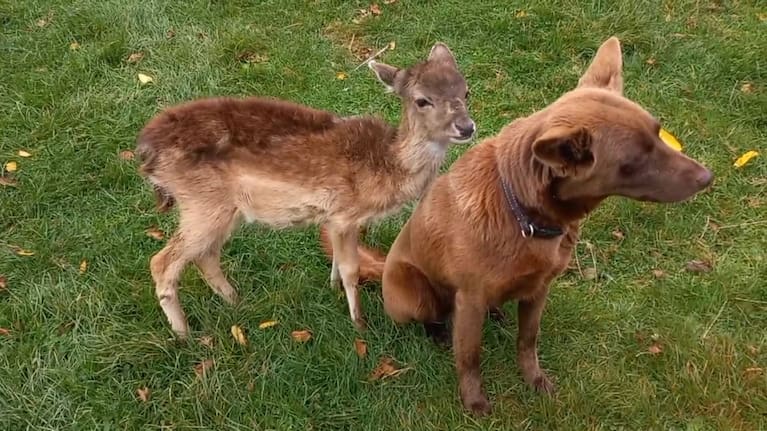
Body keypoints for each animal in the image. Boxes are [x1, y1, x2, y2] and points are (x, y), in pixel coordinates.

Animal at [138, 44, 474, 340]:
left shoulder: (334, 217)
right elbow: (351, 268)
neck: (386, 167)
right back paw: (184, 335)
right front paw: (360, 325)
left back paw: (236, 302)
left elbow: (337, 259)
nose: (466, 127)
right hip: (202, 202)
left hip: (224, 209)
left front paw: (332, 288)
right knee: (162, 262)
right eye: (422, 100)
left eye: (465, 90)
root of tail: (146, 152)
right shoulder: (345, 214)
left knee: (206, 255)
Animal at [320, 38, 712, 416]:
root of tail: (385, 263)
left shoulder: (539, 291)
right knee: (434, 316)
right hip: (412, 295)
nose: (708, 177)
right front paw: (474, 402)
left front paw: (535, 380)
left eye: (658, 132)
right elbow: (469, 357)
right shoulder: (470, 299)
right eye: (633, 162)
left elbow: (527, 341)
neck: (523, 213)